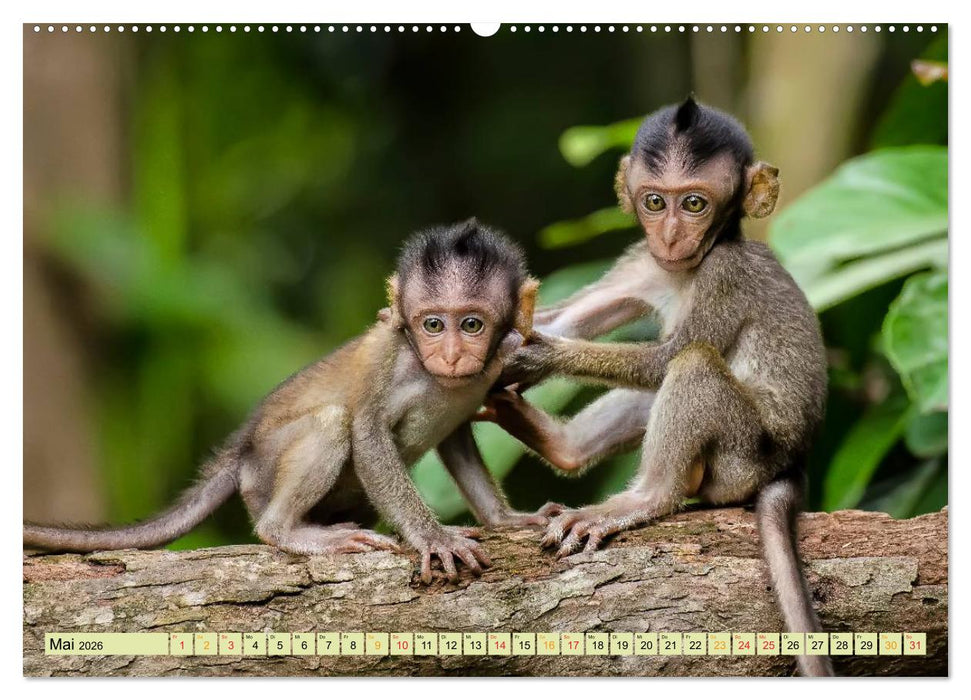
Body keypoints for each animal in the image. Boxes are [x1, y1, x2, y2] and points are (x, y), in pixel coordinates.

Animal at [25, 219, 550, 585]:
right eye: (433, 325)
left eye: (472, 325)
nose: (452, 355)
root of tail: (242, 451)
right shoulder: (391, 357)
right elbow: (367, 432)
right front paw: (433, 537)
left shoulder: (501, 358)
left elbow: (457, 438)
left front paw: (506, 520)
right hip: (263, 475)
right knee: (331, 423)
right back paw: (286, 531)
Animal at [481, 98, 833, 676]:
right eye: (653, 201)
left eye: (694, 203)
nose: (669, 235)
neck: (688, 267)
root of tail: (792, 463)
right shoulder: (642, 261)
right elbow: (567, 319)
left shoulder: (724, 274)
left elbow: (666, 358)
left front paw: (539, 355)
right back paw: (562, 445)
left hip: (741, 458)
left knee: (691, 365)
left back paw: (644, 498)